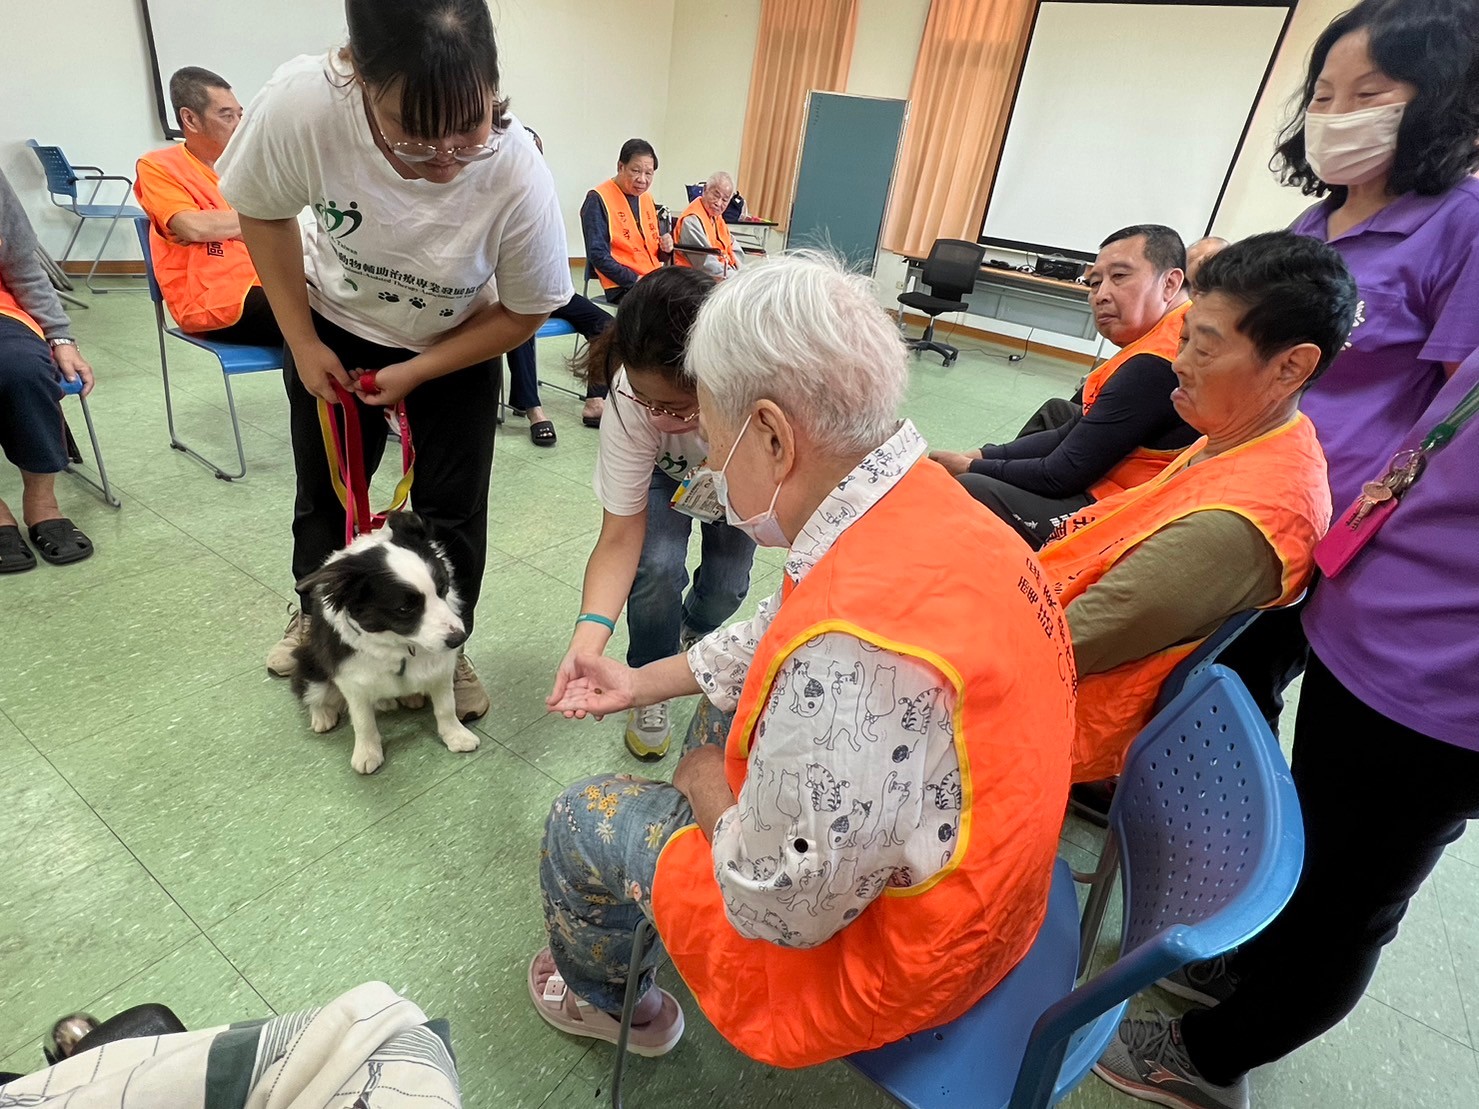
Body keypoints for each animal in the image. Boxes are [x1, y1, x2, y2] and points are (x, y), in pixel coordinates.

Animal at [285, 511, 476, 774]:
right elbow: (363, 721)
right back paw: (322, 715)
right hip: (311, 661)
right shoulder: (350, 678)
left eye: (443, 588)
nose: (459, 638)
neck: (401, 645)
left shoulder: (440, 667)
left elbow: (446, 706)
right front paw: (367, 754)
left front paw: (457, 736)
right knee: (311, 691)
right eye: (405, 608)